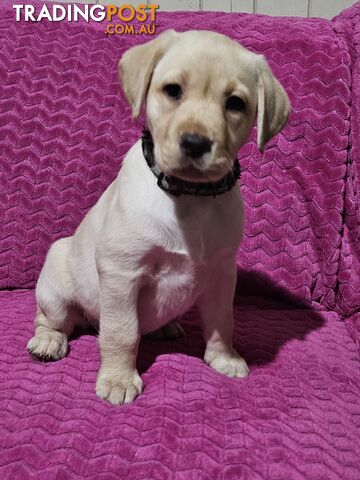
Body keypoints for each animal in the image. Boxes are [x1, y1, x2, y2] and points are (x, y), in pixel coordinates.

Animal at [26, 30, 290, 404]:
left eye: (236, 103)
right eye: (173, 90)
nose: (195, 143)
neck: (190, 196)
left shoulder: (223, 273)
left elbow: (223, 321)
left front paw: (224, 357)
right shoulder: (122, 272)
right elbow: (122, 331)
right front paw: (119, 379)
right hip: (56, 289)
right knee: (51, 319)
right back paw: (48, 341)